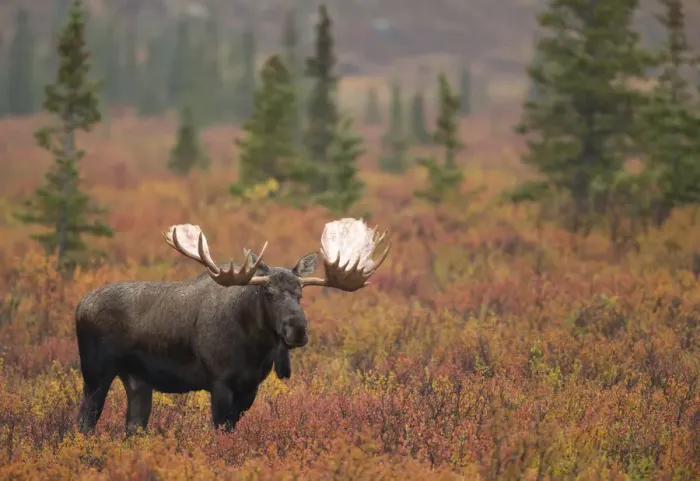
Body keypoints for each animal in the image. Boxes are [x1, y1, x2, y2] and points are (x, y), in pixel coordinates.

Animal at [74, 217, 391, 436]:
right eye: (267, 292)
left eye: (301, 292)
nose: (297, 329)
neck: (255, 348)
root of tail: (78, 307)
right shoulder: (220, 382)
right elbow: (220, 431)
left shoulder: (249, 388)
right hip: (95, 373)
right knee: (84, 421)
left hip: (137, 379)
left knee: (133, 427)